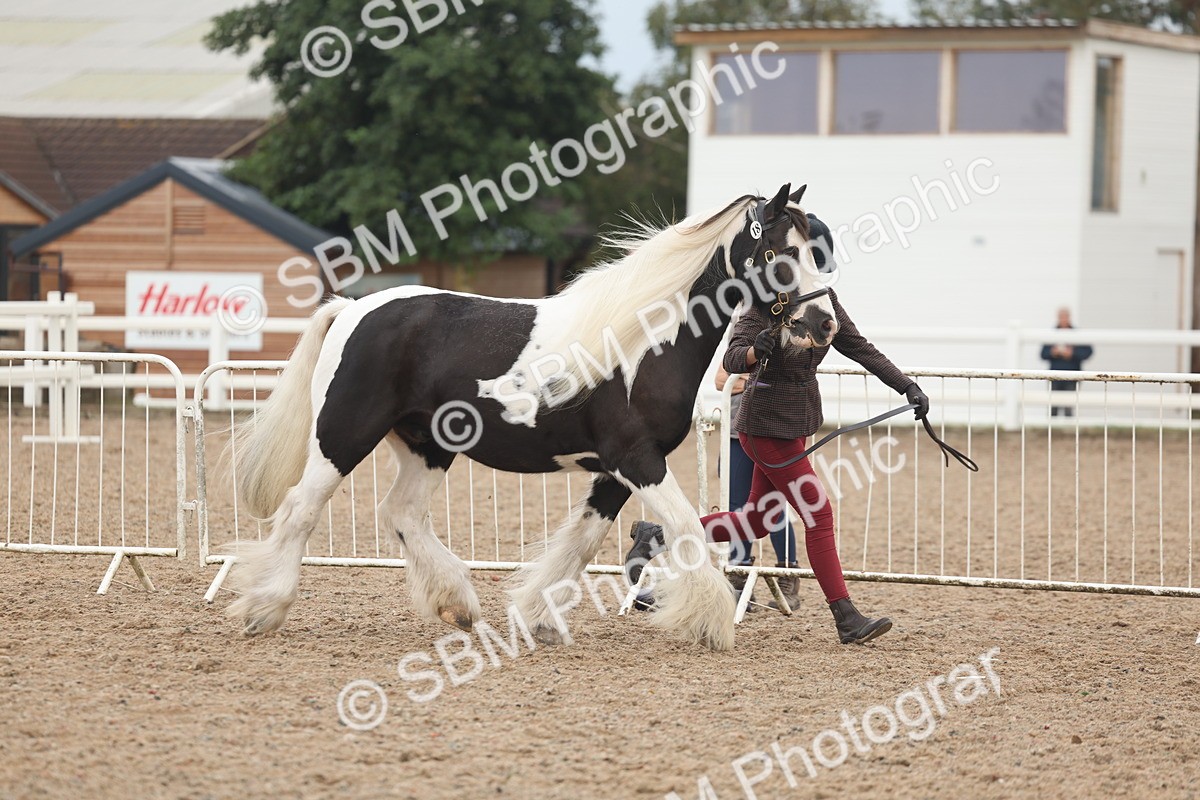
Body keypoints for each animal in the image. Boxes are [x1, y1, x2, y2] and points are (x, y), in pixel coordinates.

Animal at [226, 182, 837, 651]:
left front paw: (537, 618)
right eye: (783, 253)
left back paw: (457, 605)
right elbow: (686, 527)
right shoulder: (637, 460)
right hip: (343, 436)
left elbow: (583, 542)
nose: (824, 324)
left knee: (402, 514)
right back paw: (266, 608)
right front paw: (710, 623)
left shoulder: (615, 470)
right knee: (300, 510)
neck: (644, 345)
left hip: (427, 446)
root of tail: (353, 308)